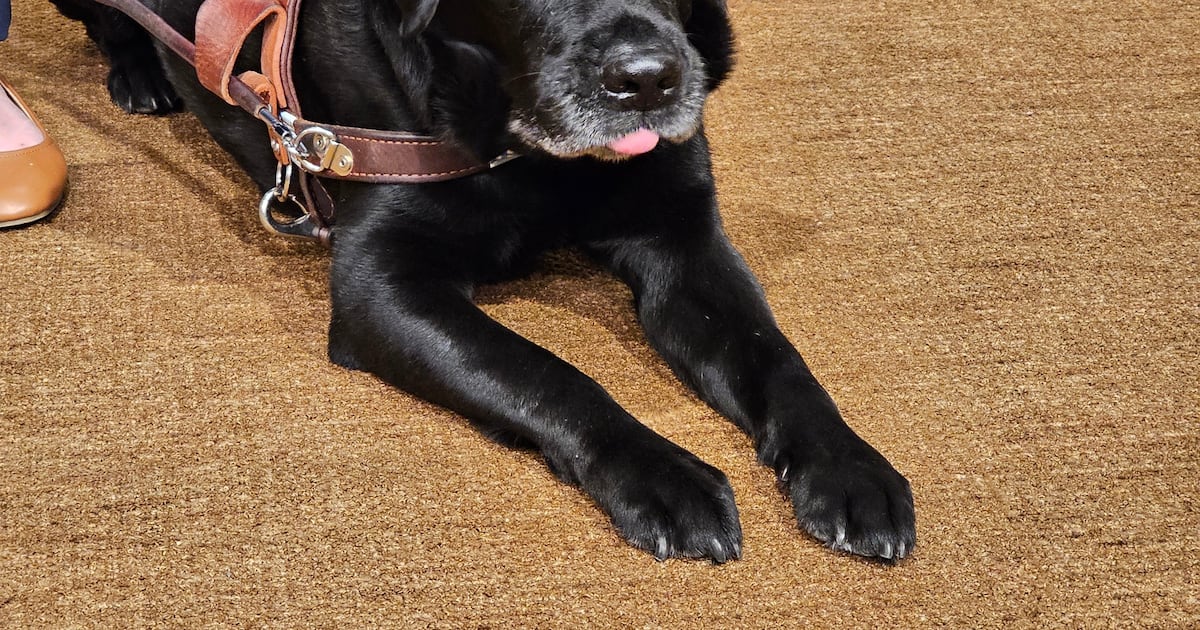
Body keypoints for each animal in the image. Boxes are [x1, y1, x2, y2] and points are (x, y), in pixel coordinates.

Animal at [52, 0, 916, 563]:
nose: (649, 80)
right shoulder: (382, 282)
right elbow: (545, 374)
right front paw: (666, 477)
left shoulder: (682, 240)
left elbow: (776, 357)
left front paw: (850, 469)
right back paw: (140, 75)